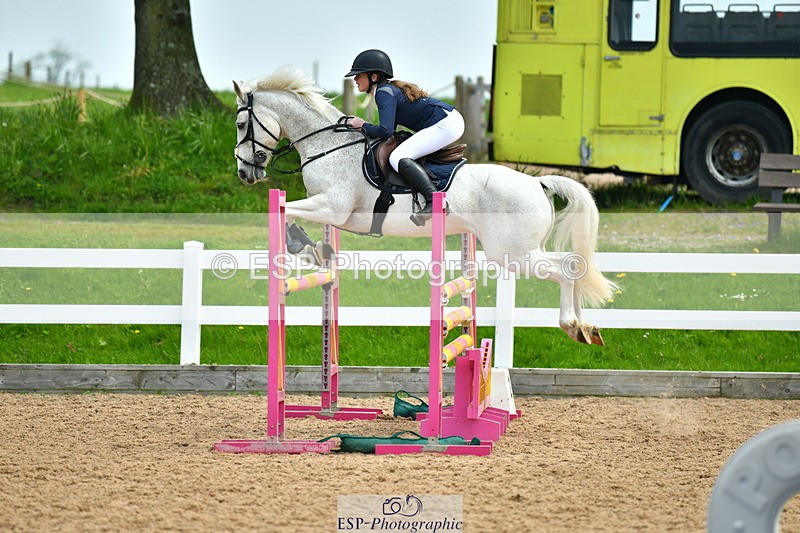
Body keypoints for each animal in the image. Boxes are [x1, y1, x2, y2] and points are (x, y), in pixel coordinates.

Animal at [232, 65, 617, 345]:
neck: (327, 145)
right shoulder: (331, 212)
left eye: (240, 123)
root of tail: (537, 182)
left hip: (512, 252)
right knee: (575, 265)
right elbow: (295, 220)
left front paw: (305, 247)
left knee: (566, 269)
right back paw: (588, 329)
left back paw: (572, 326)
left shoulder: (331, 207)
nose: (244, 172)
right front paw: (316, 250)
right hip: (524, 249)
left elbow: (283, 211)